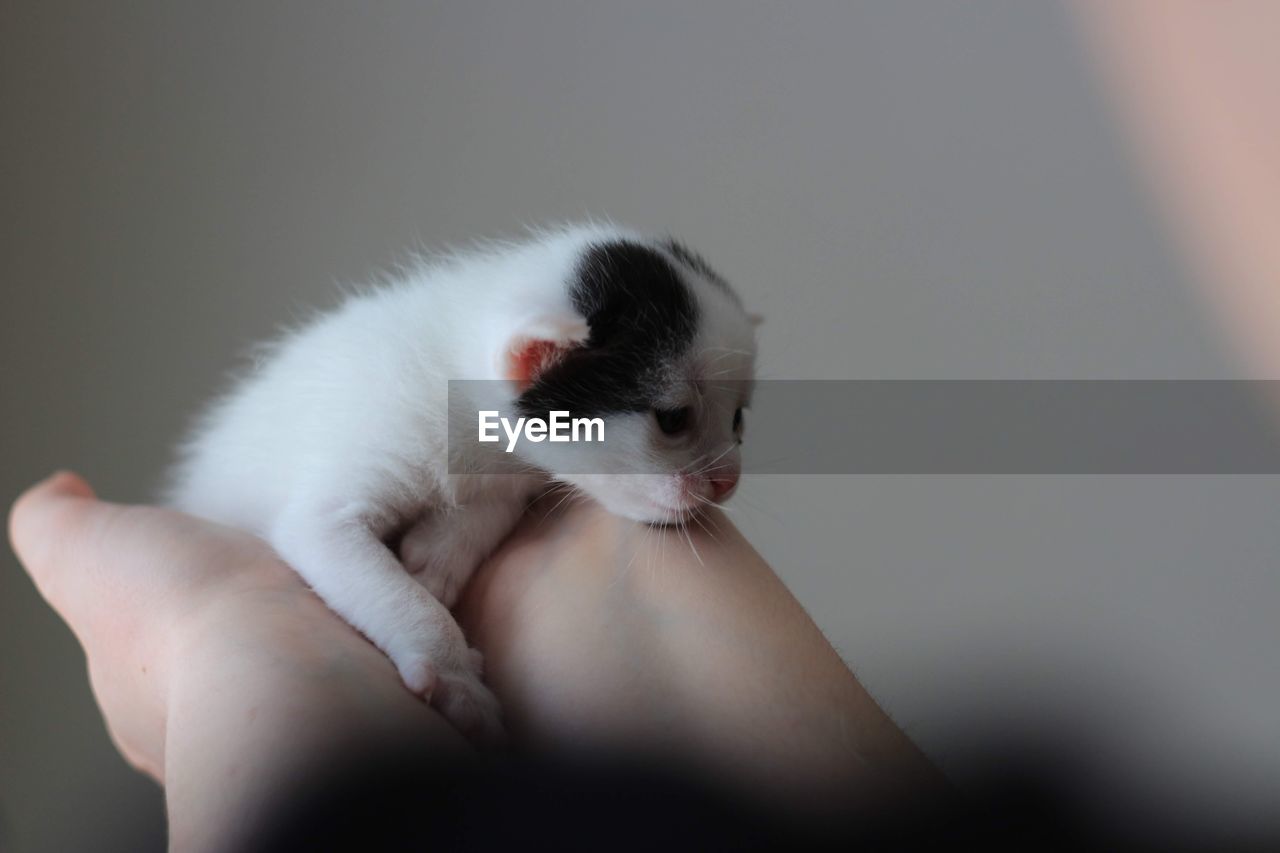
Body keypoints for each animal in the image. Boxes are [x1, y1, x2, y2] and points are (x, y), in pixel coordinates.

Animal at [165, 222, 752, 742]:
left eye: (739, 420)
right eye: (672, 419)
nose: (728, 482)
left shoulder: (510, 473)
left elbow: (491, 506)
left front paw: (438, 557)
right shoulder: (335, 498)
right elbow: (379, 581)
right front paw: (454, 676)